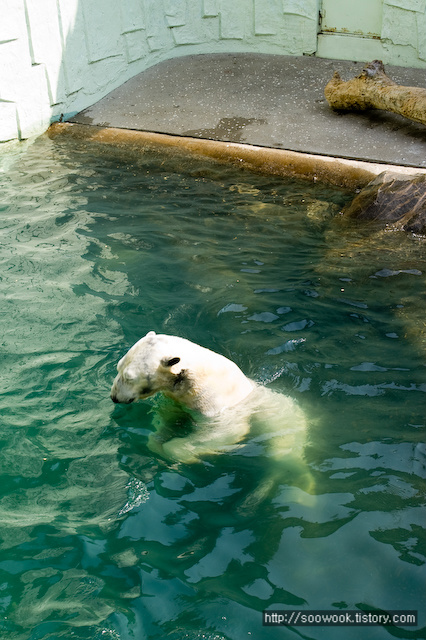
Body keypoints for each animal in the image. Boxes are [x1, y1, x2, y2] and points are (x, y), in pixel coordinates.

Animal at [111, 330, 308, 464]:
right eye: (118, 367)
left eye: (129, 377)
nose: (114, 397)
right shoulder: (180, 400)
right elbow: (170, 418)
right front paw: (157, 442)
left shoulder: (216, 406)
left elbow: (226, 432)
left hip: (283, 422)